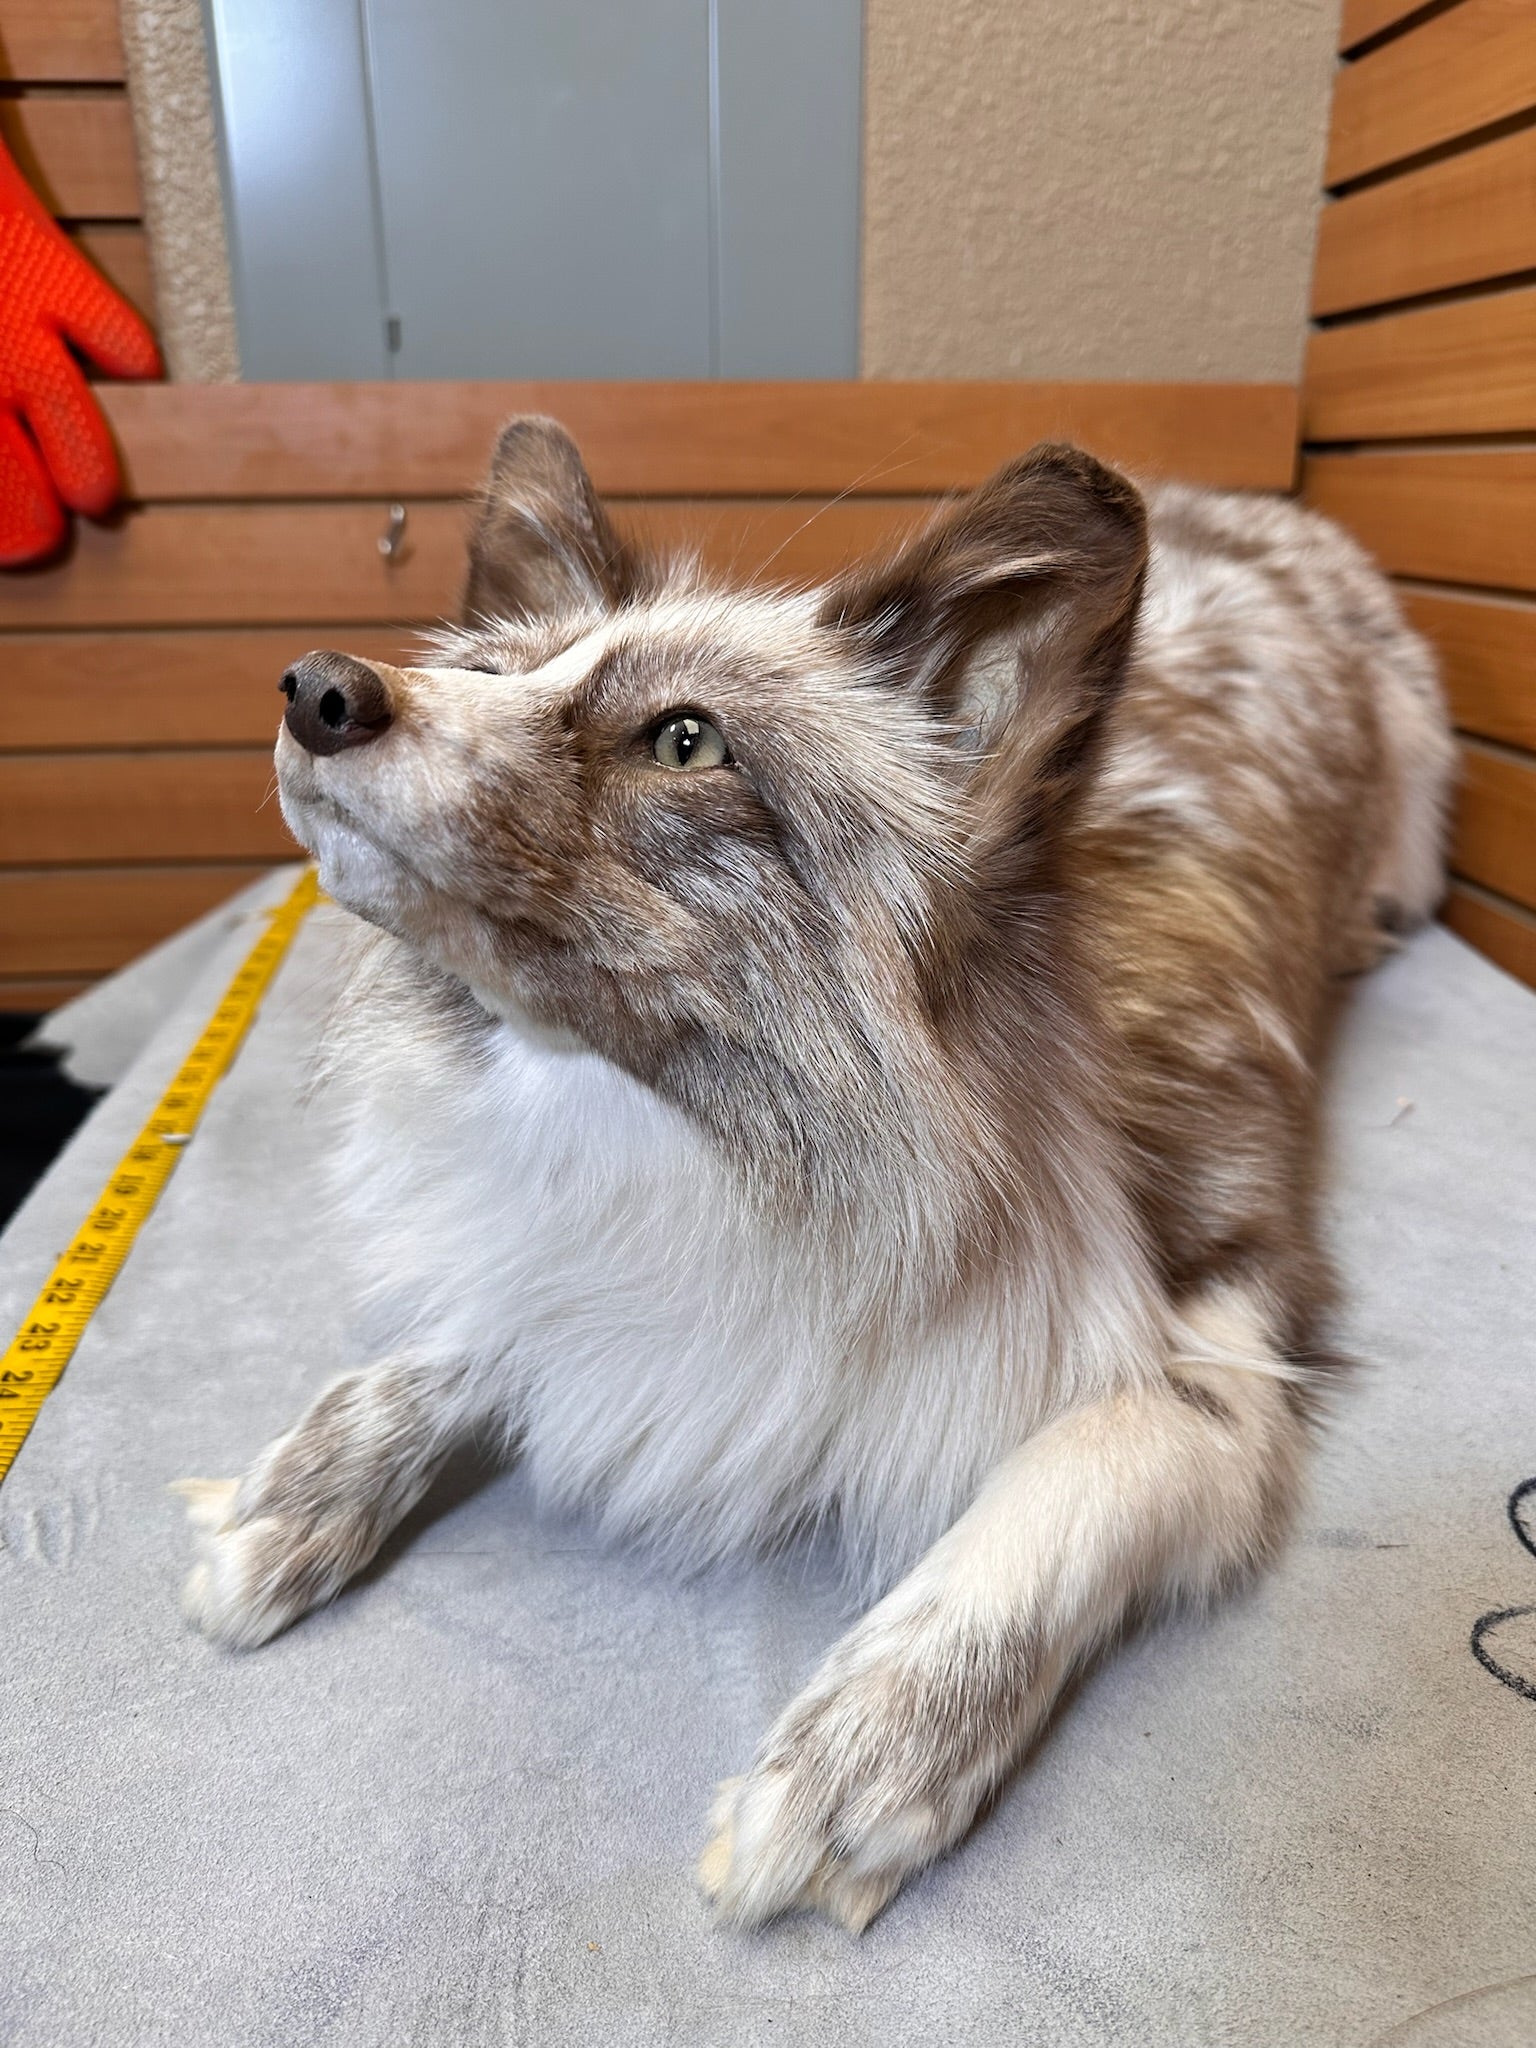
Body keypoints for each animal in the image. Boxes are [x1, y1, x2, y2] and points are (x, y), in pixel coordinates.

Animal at [178, 419, 1453, 1932]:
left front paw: (863, 1757)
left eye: (685, 738)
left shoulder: (1233, 1322)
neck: (692, 1144)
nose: (317, 686)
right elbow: (473, 1330)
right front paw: (302, 1488)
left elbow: (1050, 1500)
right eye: (484, 671)